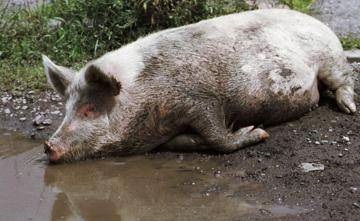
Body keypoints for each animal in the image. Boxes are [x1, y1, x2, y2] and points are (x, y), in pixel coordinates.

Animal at [42, 9, 354, 163]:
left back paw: (349, 109)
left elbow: (217, 135)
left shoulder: (200, 97)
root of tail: (319, 22)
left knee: (343, 78)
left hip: (330, 56)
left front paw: (257, 132)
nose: (48, 145)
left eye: (90, 109)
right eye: (67, 109)